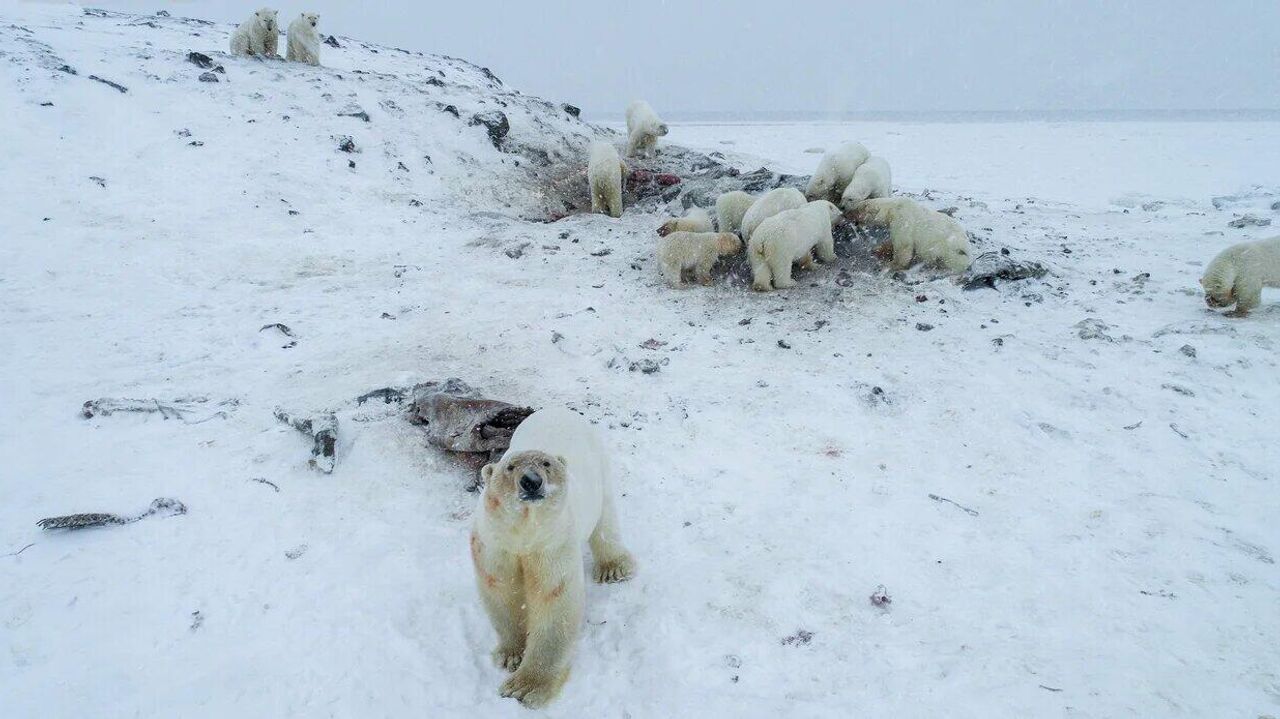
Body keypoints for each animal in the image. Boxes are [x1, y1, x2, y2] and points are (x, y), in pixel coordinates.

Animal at [471, 406, 634, 706]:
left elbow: (553, 601)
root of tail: (557, 409)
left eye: (546, 464)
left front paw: (525, 687)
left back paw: (614, 568)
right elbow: (501, 591)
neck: (524, 533)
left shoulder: (552, 545)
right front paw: (510, 656)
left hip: (598, 466)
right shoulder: (495, 544)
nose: (531, 481)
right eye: (510, 467)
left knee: (605, 517)